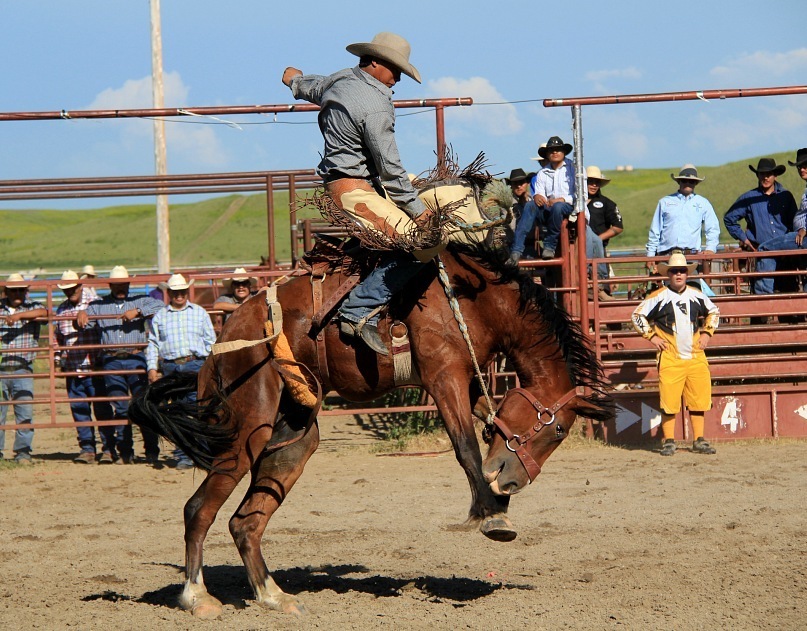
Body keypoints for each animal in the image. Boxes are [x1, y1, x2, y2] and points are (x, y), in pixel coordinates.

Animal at [131, 243, 612, 624]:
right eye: (557, 430)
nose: (512, 481)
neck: (473, 299)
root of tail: (225, 335)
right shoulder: (443, 375)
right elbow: (465, 447)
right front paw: (492, 514)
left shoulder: (468, 382)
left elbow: (484, 421)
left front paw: (496, 500)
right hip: (250, 426)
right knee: (199, 510)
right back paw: (197, 598)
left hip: (294, 437)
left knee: (244, 521)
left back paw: (275, 597)